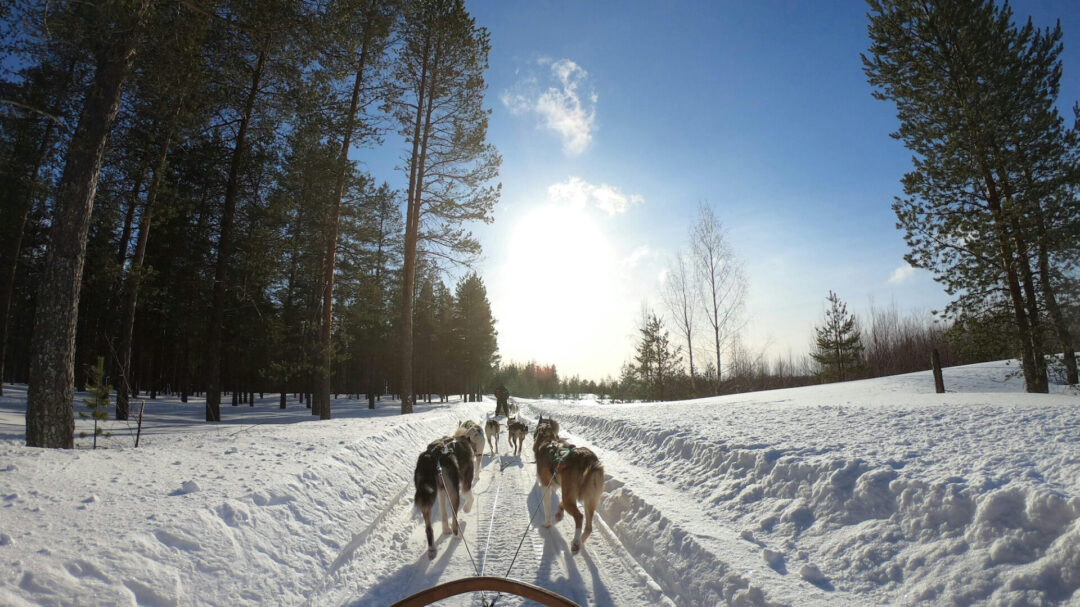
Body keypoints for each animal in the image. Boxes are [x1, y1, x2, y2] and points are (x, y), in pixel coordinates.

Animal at [533, 414, 604, 552]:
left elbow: (547, 508)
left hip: (572, 498)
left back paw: (576, 542)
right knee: (588, 527)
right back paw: (579, 542)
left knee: (579, 517)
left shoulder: (546, 486)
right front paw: (559, 512)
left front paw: (547, 523)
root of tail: (588, 459)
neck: (547, 439)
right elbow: (559, 504)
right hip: (588, 501)